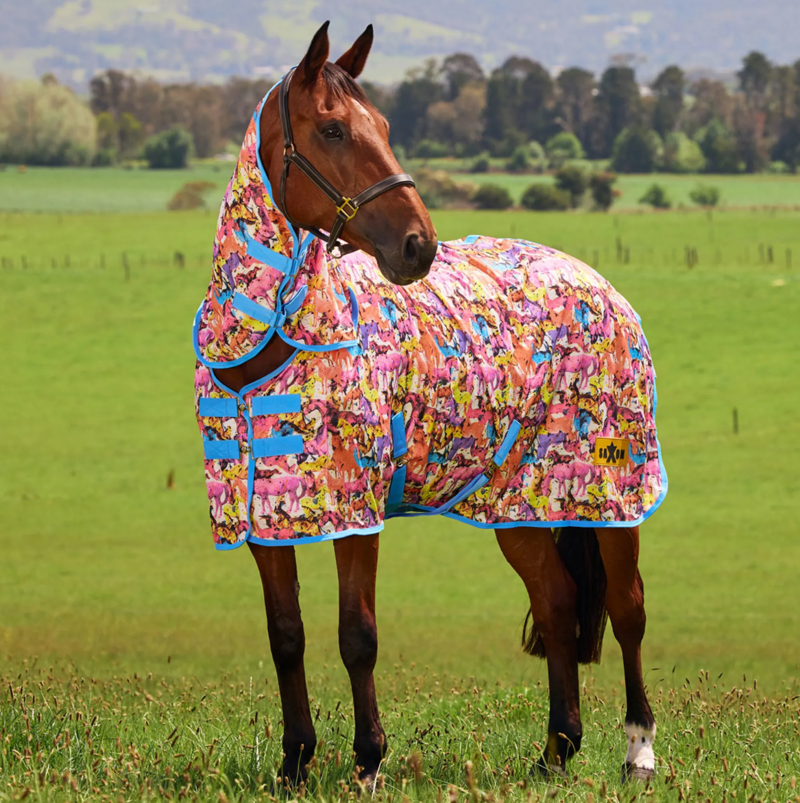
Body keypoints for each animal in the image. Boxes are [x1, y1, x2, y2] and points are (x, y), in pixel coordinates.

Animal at [193, 21, 666, 789]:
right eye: (332, 128)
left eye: (385, 126)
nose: (419, 244)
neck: (268, 349)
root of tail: (595, 279)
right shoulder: (262, 519)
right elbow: (286, 634)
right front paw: (295, 764)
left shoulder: (356, 514)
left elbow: (357, 635)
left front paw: (367, 763)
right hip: (520, 503)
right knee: (558, 603)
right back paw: (555, 750)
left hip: (612, 492)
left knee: (628, 610)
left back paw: (638, 751)